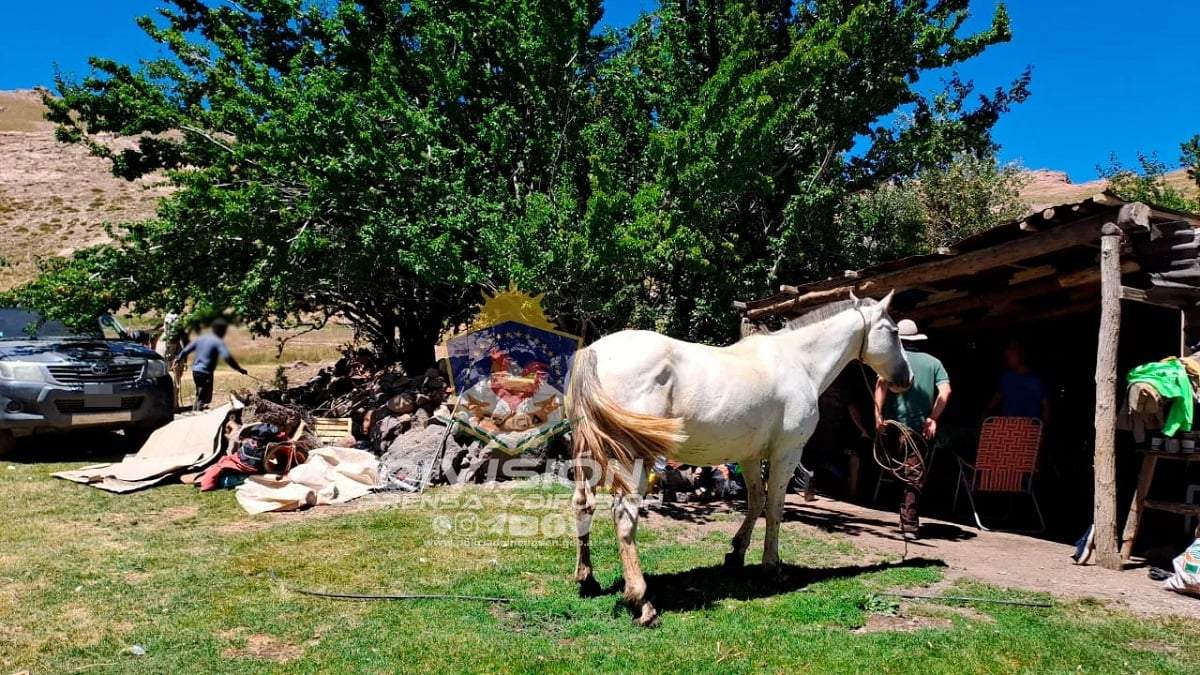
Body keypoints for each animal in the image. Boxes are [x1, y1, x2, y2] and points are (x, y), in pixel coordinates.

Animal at [564, 292, 913, 626]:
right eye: (894, 332)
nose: (906, 378)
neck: (800, 362)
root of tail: (595, 352)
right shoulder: (786, 453)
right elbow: (775, 509)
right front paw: (771, 566)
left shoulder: (749, 457)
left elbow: (756, 502)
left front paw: (736, 554)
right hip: (633, 458)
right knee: (624, 516)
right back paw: (642, 602)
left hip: (587, 455)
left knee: (583, 505)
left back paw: (588, 580)